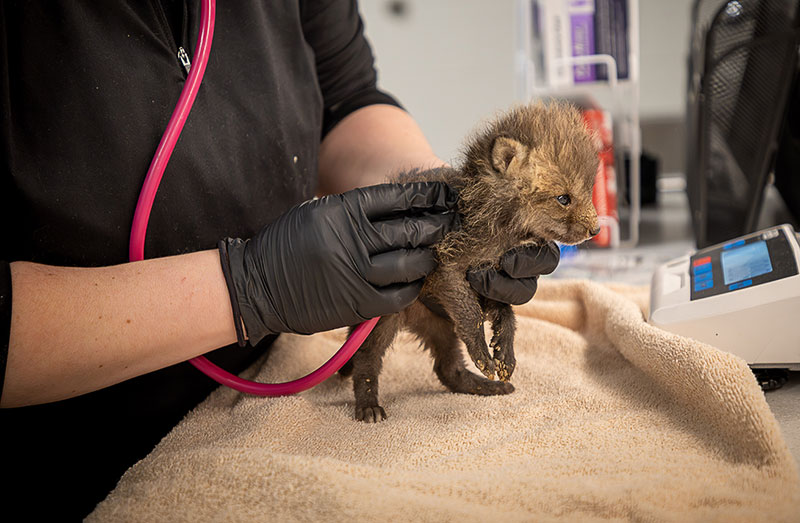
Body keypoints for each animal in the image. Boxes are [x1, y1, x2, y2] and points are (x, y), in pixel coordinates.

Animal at [340, 101, 601, 422]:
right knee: (366, 358)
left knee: (447, 368)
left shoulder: (492, 277)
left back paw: (486, 386)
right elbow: (471, 315)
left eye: (588, 192)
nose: (596, 230)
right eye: (563, 198)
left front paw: (503, 353)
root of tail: (412, 317)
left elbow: (506, 313)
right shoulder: (447, 266)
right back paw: (368, 405)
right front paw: (483, 352)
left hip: (439, 324)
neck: (497, 226)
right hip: (386, 315)